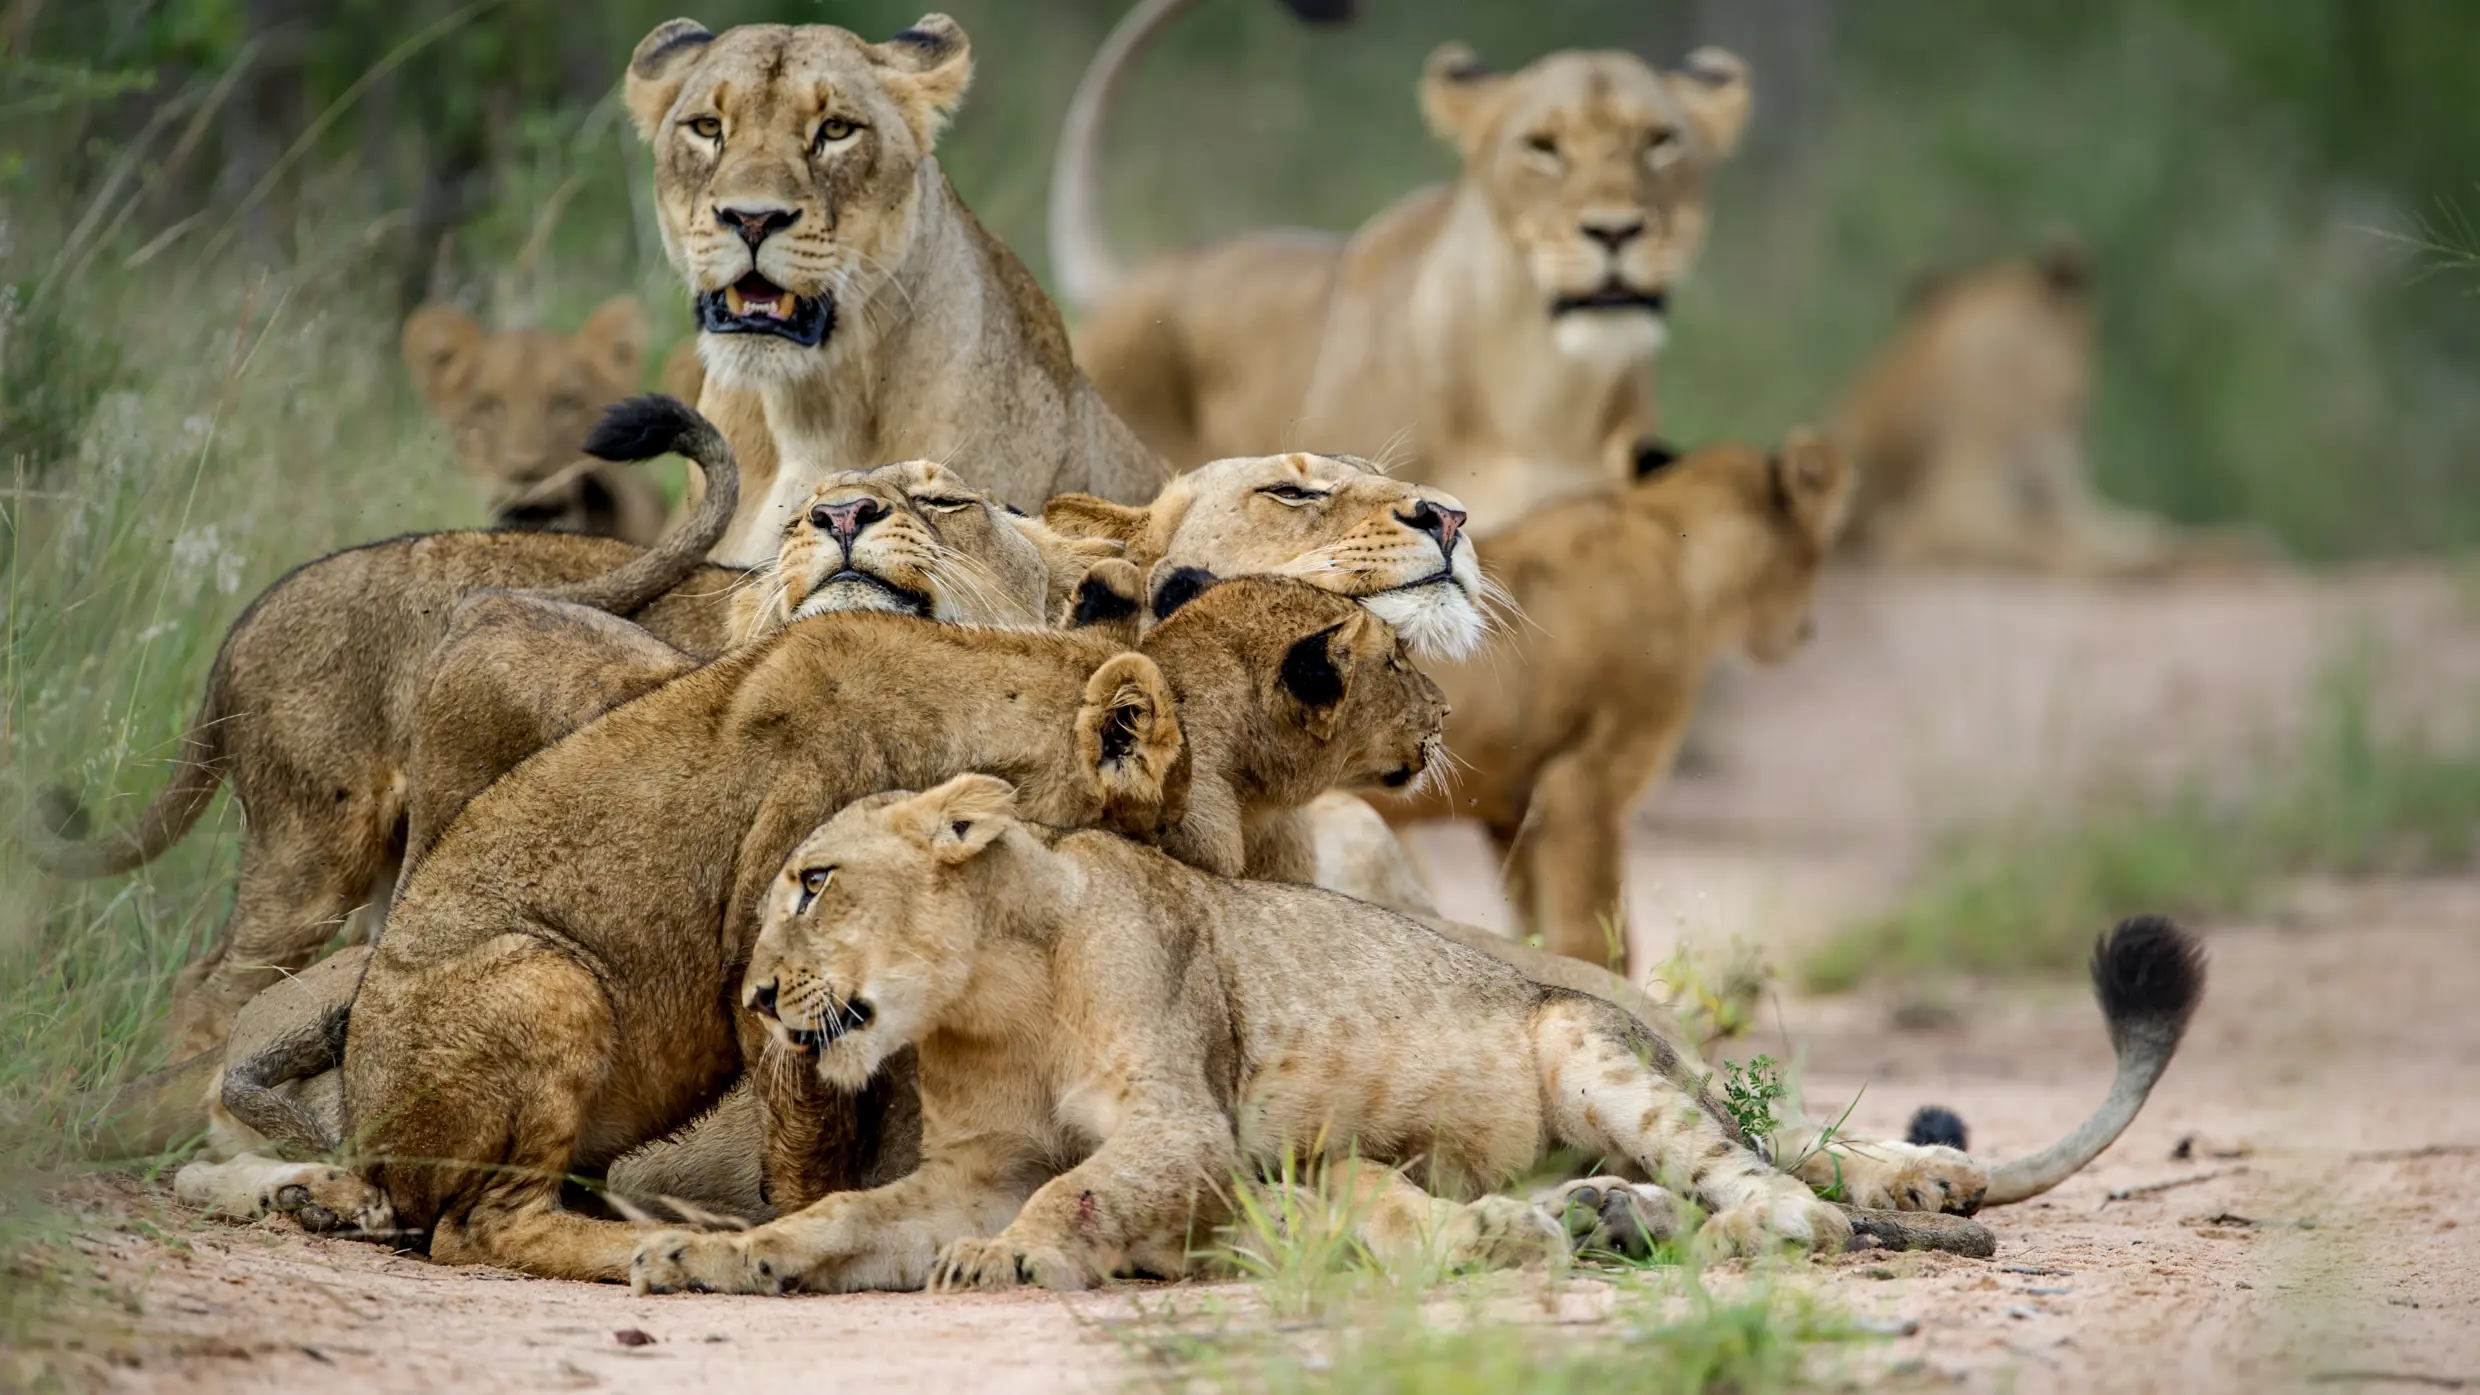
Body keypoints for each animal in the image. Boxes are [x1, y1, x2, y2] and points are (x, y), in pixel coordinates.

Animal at [244, 579, 1443, 1281]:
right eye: (1173, 826)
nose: (1215, 895)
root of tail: (369, 1141)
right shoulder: (773, 980)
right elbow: (819, 1144)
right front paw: (800, 1230)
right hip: (546, 975)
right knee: (476, 1226)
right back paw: (659, 1238)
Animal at [626, 778, 2208, 1294]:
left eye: (812, 881)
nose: (756, 1002)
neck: (986, 1008)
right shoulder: (965, 1163)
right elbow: (837, 1217)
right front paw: (711, 1256)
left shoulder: (1183, 1124)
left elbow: (1080, 1190)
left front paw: (1014, 1257)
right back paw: (1587, 1221)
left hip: (1583, 1042)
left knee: (1783, 1207)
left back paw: (1664, 1229)